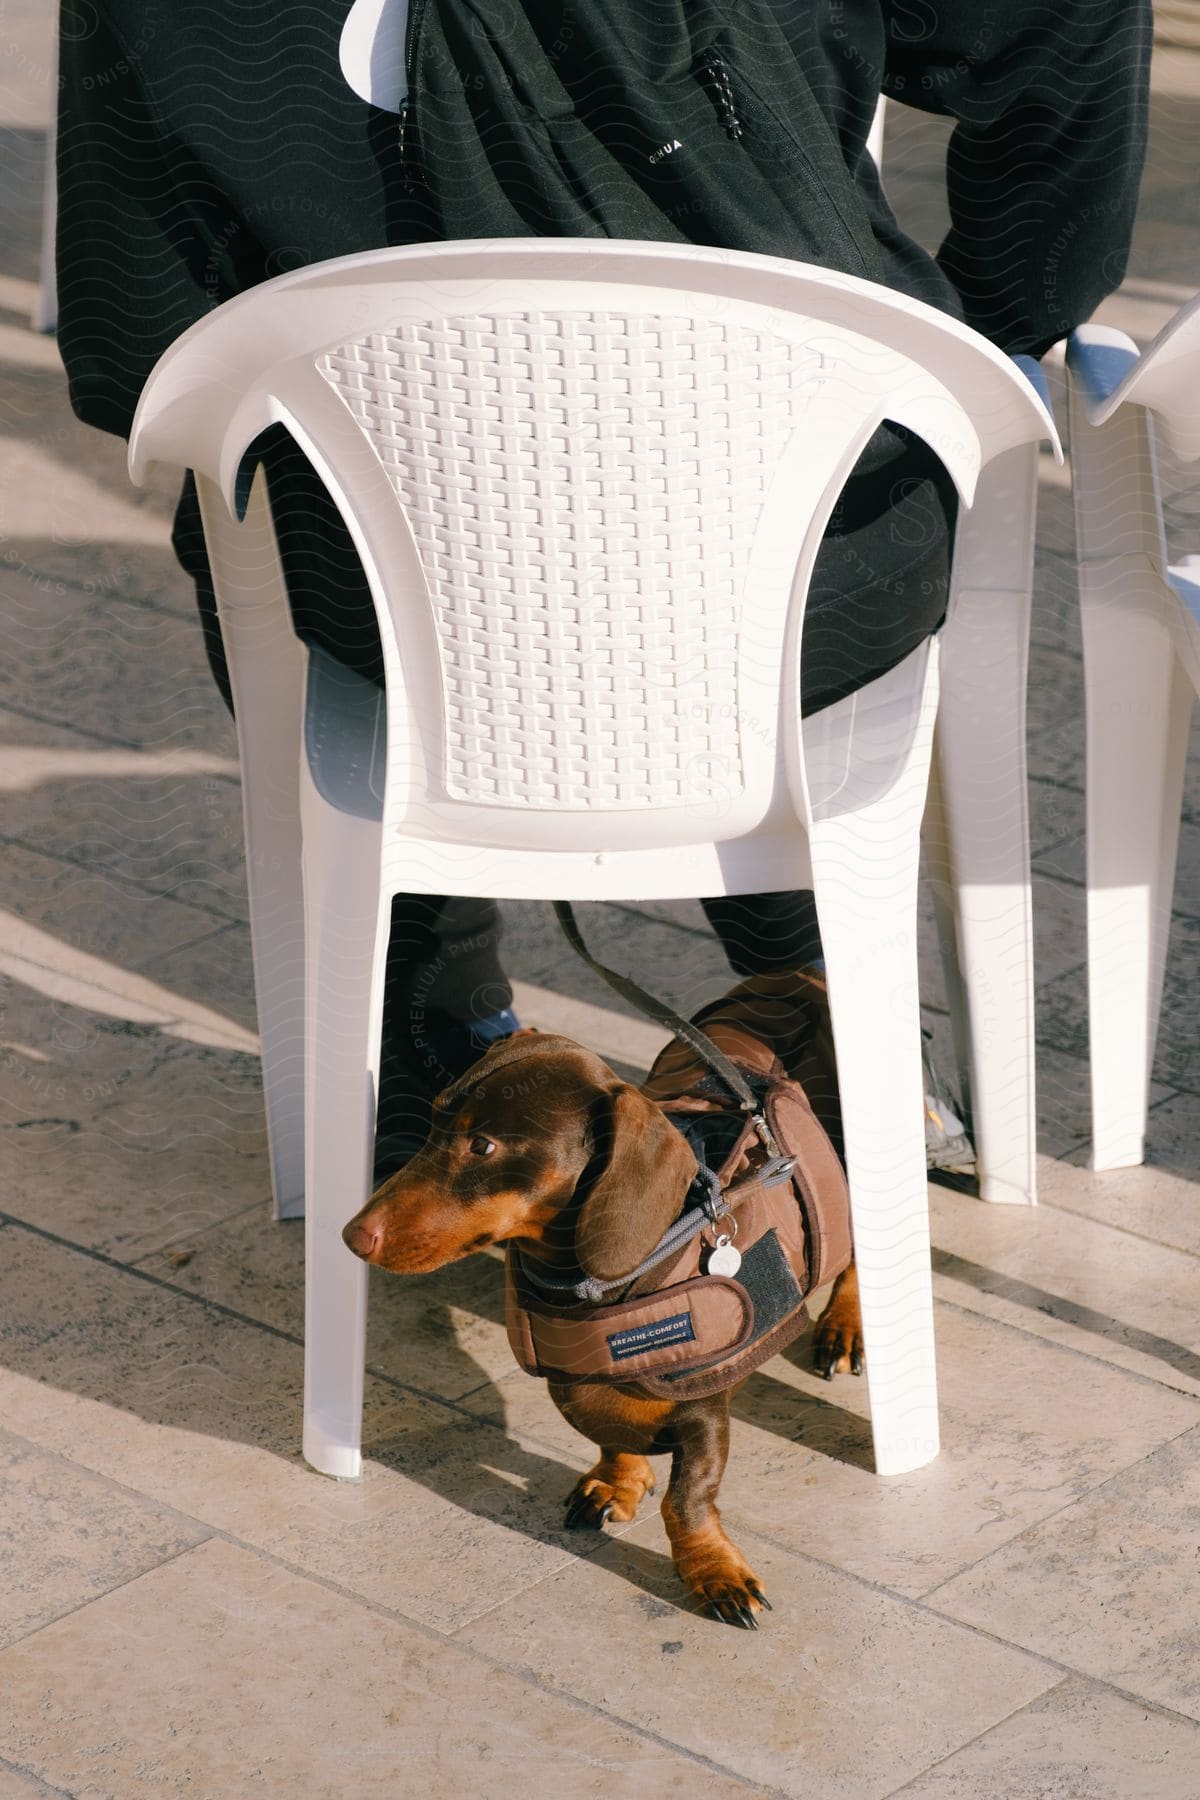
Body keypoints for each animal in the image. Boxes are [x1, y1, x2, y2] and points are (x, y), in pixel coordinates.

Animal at [341, 979, 859, 1627]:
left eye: (483, 1145)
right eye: (432, 1119)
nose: (352, 1237)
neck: (586, 1287)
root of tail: (798, 979)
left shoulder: (704, 1410)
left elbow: (687, 1499)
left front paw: (714, 1572)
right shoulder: (579, 1379)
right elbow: (611, 1435)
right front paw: (619, 1482)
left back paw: (845, 1326)